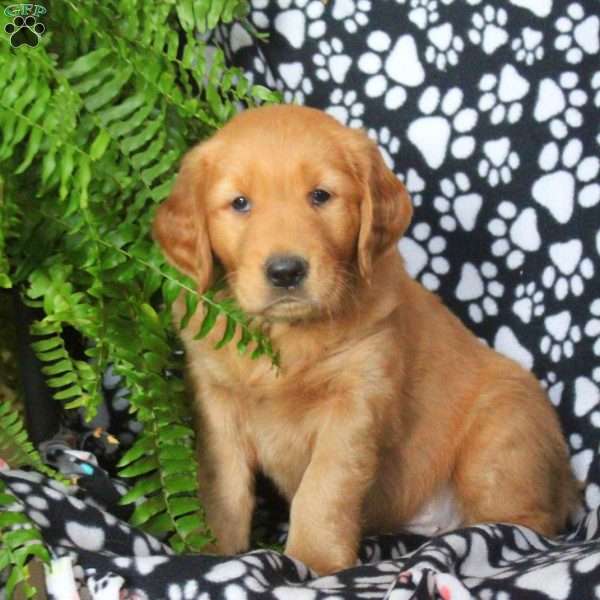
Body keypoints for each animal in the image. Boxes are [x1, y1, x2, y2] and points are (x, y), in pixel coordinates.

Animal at [154, 105, 576, 576]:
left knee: (527, 522)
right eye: (240, 203)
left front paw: (311, 560)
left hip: (500, 436)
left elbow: (323, 488)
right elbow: (221, 486)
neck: (284, 337)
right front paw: (211, 552)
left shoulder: (356, 400)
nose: (286, 271)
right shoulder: (216, 403)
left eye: (321, 196)